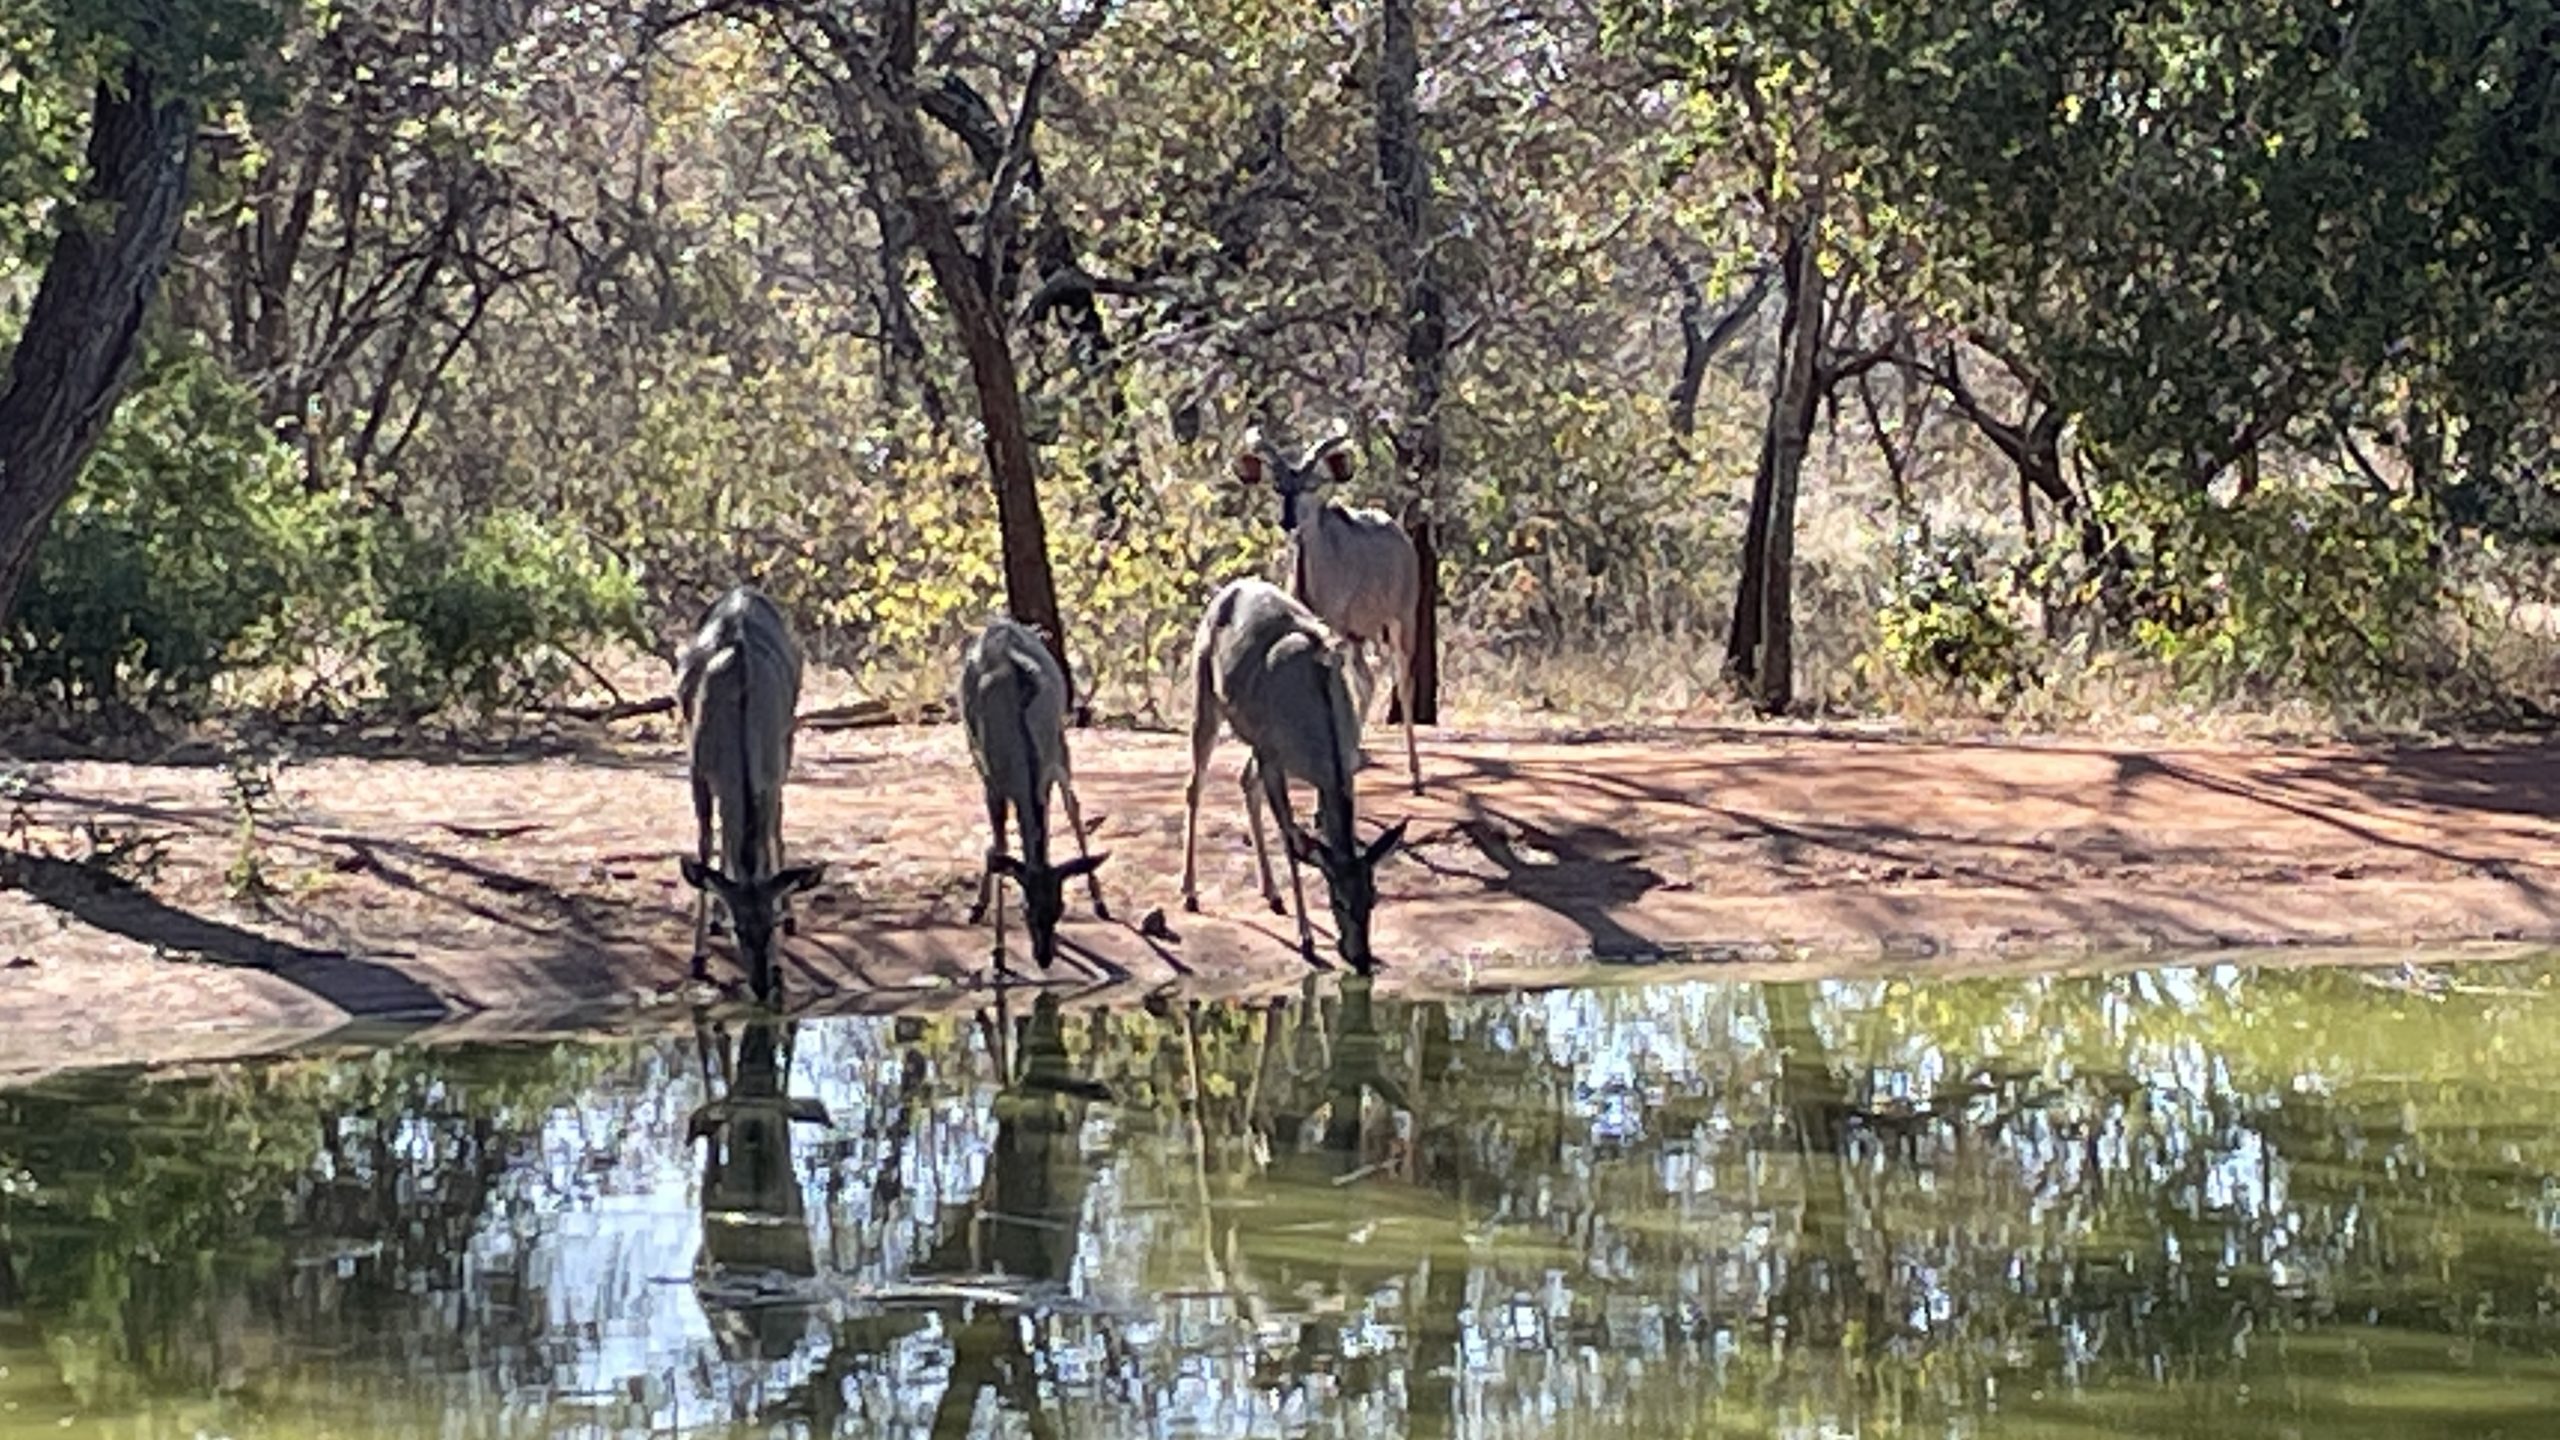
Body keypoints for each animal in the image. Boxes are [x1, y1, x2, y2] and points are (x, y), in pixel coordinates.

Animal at [675, 584, 824, 999]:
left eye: (769, 926)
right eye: (741, 929)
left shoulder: (771, 771)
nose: (761, 983)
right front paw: (698, 957)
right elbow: (706, 843)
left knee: (772, 825)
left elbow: (767, 834)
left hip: (788, 743)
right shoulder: (697, 769)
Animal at [962, 609, 1111, 968]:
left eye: (1060, 907)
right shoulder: (992, 782)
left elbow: (1073, 812)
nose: (1043, 957)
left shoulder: (1052, 766)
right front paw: (999, 953)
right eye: (1026, 909)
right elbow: (1000, 850)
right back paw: (978, 909)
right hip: (975, 751)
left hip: (1060, 745)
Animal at [1182, 568, 1413, 963]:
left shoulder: (1335, 767)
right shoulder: (1273, 757)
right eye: (1338, 901)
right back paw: (1190, 893)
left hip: (1255, 740)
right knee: (1195, 785)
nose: (1361, 957)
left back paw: (1271, 892)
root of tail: (1229, 588)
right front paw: (1306, 938)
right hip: (1206, 696)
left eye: (1374, 897)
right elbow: (1292, 841)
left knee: (1244, 781)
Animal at [1233, 430, 1423, 789]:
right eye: (1278, 486)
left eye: (1311, 486)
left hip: (1400, 622)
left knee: (1402, 682)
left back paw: (1415, 773)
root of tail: (1402, 537)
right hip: (1360, 636)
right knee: (1367, 679)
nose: (1288, 520)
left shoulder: (1335, 629)